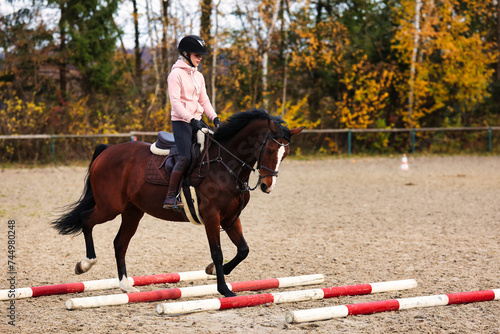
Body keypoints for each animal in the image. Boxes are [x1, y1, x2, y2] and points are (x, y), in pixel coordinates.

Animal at [50, 109, 302, 298]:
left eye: (286, 153)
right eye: (270, 148)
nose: (267, 185)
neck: (226, 164)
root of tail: (108, 150)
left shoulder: (231, 218)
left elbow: (243, 250)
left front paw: (213, 271)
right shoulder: (212, 216)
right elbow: (217, 252)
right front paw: (224, 289)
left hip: (132, 212)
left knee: (120, 243)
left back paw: (125, 285)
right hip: (110, 207)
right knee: (86, 220)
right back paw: (85, 264)